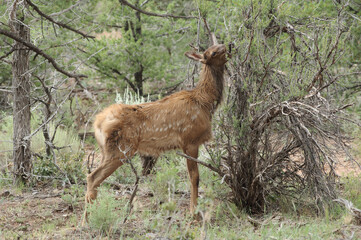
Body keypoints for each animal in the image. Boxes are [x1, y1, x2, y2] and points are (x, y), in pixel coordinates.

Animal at [84, 43, 226, 216]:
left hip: (107, 151)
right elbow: (194, 177)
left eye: (219, 45)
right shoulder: (190, 140)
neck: (205, 103)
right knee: (92, 178)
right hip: (120, 150)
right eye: (212, 52)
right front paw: (194, 212)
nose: (228, 46)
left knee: (92, 178)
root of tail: (97, 123)